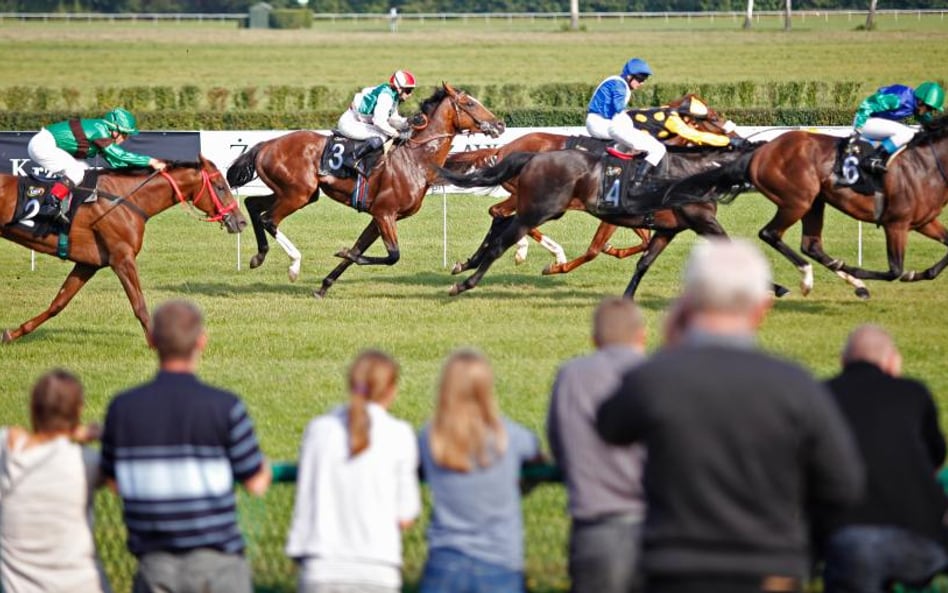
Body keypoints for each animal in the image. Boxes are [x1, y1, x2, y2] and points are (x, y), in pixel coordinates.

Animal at [0, 157, 248, 342]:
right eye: (220, 187)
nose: (241, 221)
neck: (124, 200)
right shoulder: (122, 258)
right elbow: (139, 304)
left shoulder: (88, 263)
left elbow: (58, 303)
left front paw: (13, 333)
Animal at [227, 83, 508, 296]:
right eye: (469, 103)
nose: (500, 125)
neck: (415, 159)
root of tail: (266, 144)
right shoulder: (385, 214)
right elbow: (392, 256)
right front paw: (341, 254)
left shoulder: (378, 217)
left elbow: (358, 249)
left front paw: (324, 285)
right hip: (298, 194)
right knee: (269, 220)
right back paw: (294, 266)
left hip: (296, 193)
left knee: (252, 204)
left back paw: (258, 256)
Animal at [438, 146, 792, 298]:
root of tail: (534, 155)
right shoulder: (702, 221)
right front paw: (777, 286)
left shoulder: (668, 228)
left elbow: (644, 262)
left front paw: (627, 296)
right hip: (538, 209)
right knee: (500, 239)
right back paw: (465, 282)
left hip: (538, 208)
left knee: (499, 222)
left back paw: (467, 264)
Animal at [440, 93, 736, 276]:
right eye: (712, 117)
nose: (732, 133)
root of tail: (505, 148)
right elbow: (597, 248)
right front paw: (564, 263)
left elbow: (642, 240)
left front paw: (613, 249)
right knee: (504, 214)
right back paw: (542, 253)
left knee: (502, 215)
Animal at [676, 115, 948, 298]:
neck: (926, 165)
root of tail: (761, 151)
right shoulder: (896, 223)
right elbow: (895, 270)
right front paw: (858, 270)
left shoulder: (923, 221)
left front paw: (922, 274)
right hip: (797, 200)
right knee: (770, 233)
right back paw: (808, 277)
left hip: (815, 202)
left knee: (811, 245)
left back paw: (849, 280)